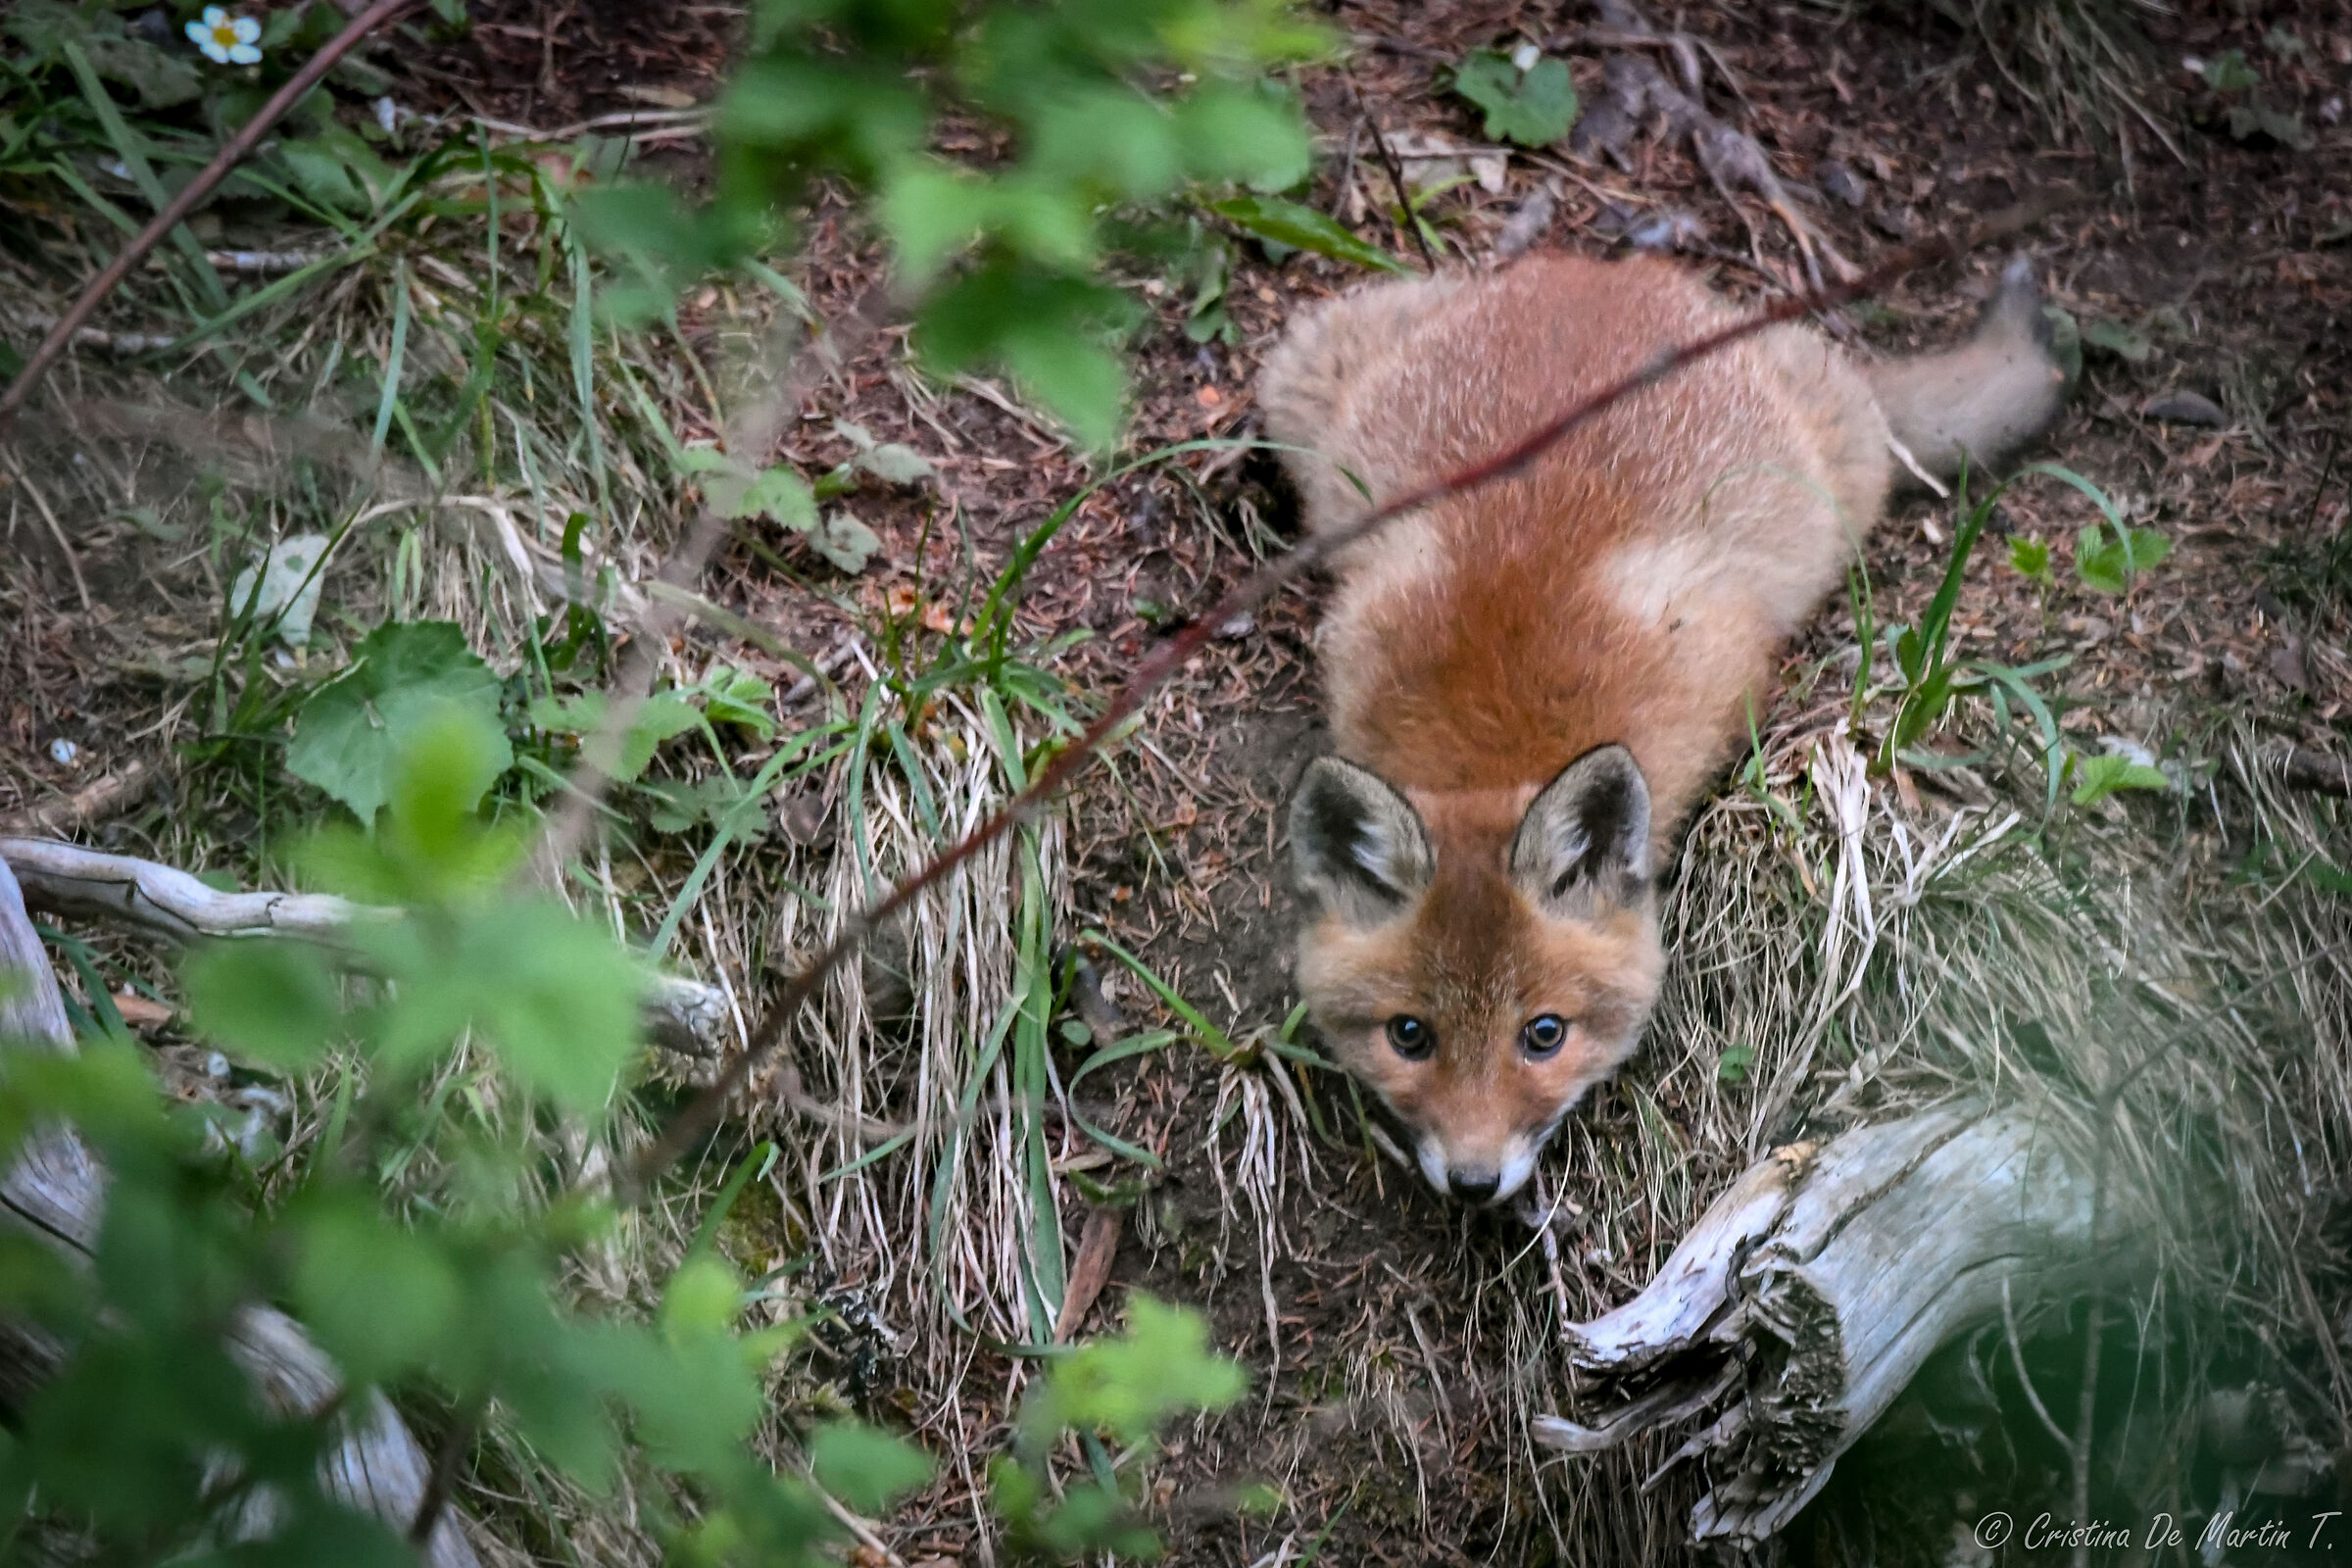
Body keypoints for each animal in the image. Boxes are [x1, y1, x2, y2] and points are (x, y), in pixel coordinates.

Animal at [1261, 251, 2066, 1204]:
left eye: (1544, 1034)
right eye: (1409, 1036)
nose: (1474, 1182)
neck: (1493, 740)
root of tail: (1611, 271)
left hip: (1846, 473)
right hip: (1302, 390)